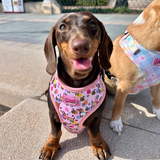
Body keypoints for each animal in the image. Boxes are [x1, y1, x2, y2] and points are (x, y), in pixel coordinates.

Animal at [39, 11, 113, 159]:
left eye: (92, 24)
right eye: (62, 26)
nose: (81, 46)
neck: (77, 84)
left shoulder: (97, 116)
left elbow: (94, 131)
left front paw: (98, 145)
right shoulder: (52, 114)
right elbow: (55, 132)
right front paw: (50, 146)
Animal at [105, 0, 160, 134]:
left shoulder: (156, 82)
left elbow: (156, 99)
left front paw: (158, 112)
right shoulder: (124, 85)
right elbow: (118, 105)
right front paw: (115, 122)